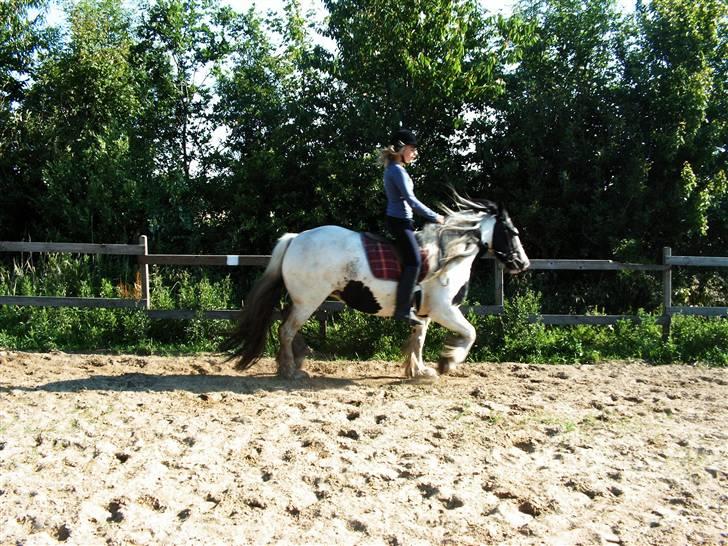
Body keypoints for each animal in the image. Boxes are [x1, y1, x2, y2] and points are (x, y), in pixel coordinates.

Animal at [222, 194, 528, 378]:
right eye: (511, 231)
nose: (522, 263)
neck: (445, 255)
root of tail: (296, 238)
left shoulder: (424, 313)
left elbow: (418, 338)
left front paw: (418, 371)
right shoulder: (444, 310)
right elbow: (471, 333)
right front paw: (446, 362)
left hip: (304, 300)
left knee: (286, 324)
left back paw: (298, 359)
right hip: (308, 301)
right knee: (286, 329)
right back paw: (290, 370)